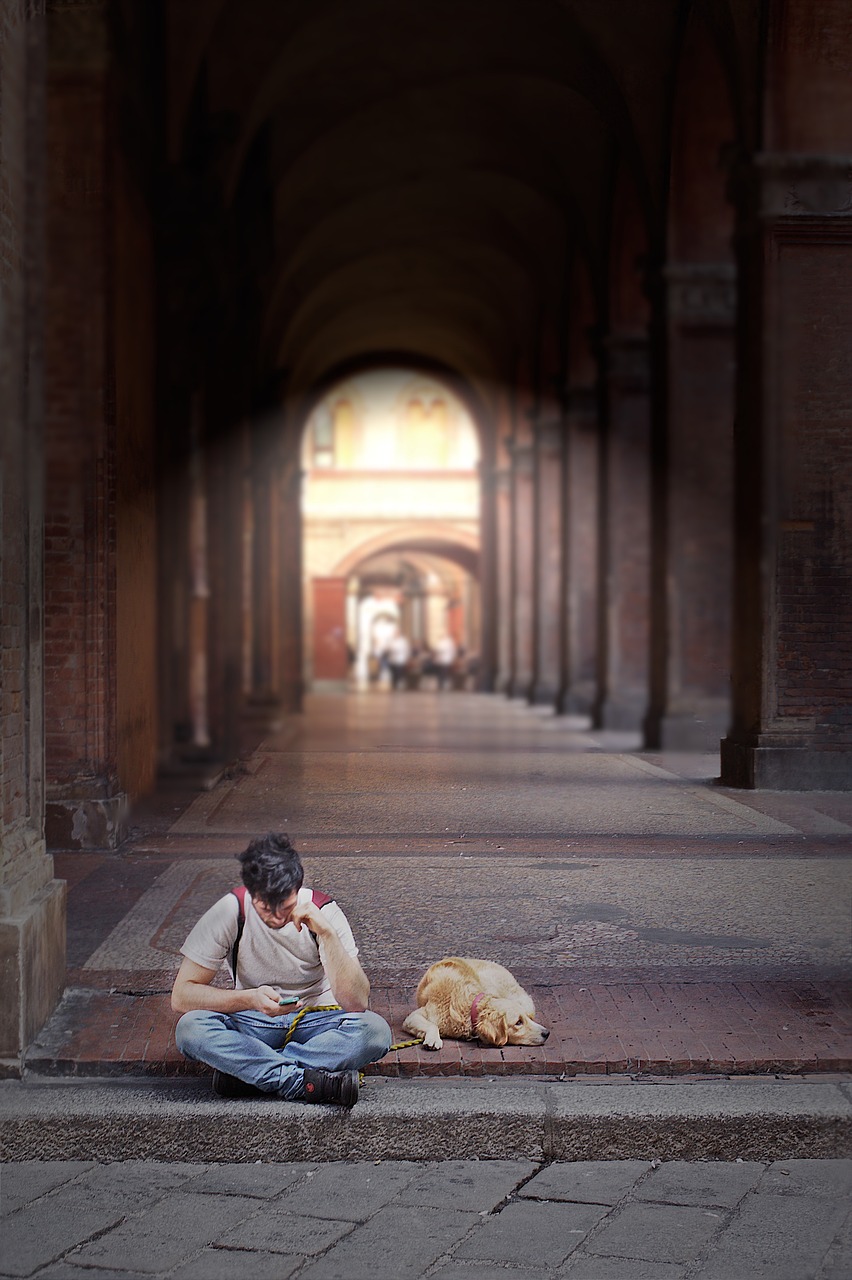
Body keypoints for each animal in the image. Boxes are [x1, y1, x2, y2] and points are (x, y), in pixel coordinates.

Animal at [401, 952, 547, 1049]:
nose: (547, 1033)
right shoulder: (414, 1016)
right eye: (518, 1022)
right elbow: (433, 1025)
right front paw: (433, 1039)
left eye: (525, 1019)